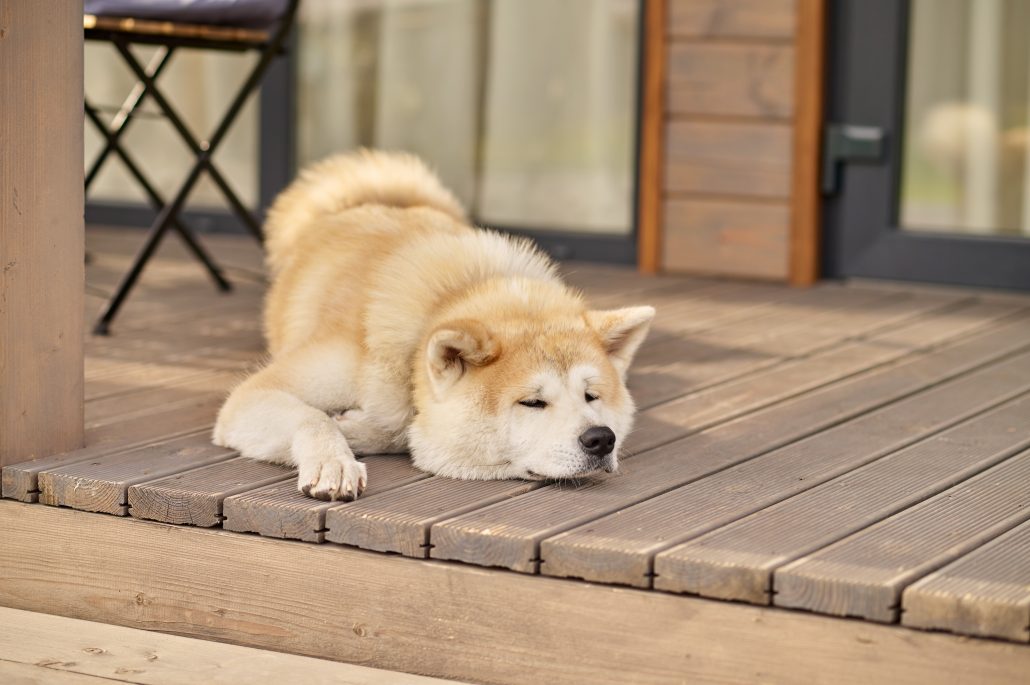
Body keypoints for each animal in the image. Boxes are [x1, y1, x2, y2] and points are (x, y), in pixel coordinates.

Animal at [213, 152, 655, 500]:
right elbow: (313, 418)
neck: (447, 299)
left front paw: (360, 430)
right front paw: (334, 460)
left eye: (591, 396)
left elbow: (397, 428)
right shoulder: (254, 395)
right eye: (531, 402)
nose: (601, 438)